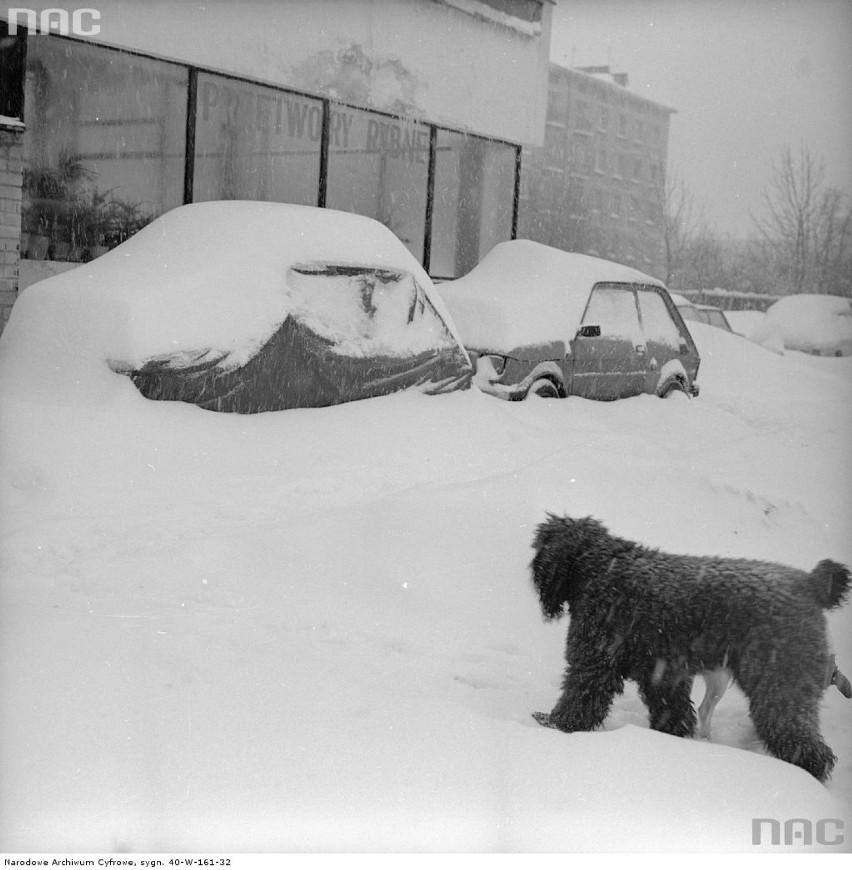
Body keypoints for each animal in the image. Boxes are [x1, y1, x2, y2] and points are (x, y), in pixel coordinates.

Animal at [532, 516, 852, 784]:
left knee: (803, 743)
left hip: (779, 685)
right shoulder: (663, 674)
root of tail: (811, 584)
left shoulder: (595, 663)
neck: (601, 566)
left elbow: (579, 701)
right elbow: (674, 712)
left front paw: (556, 726)